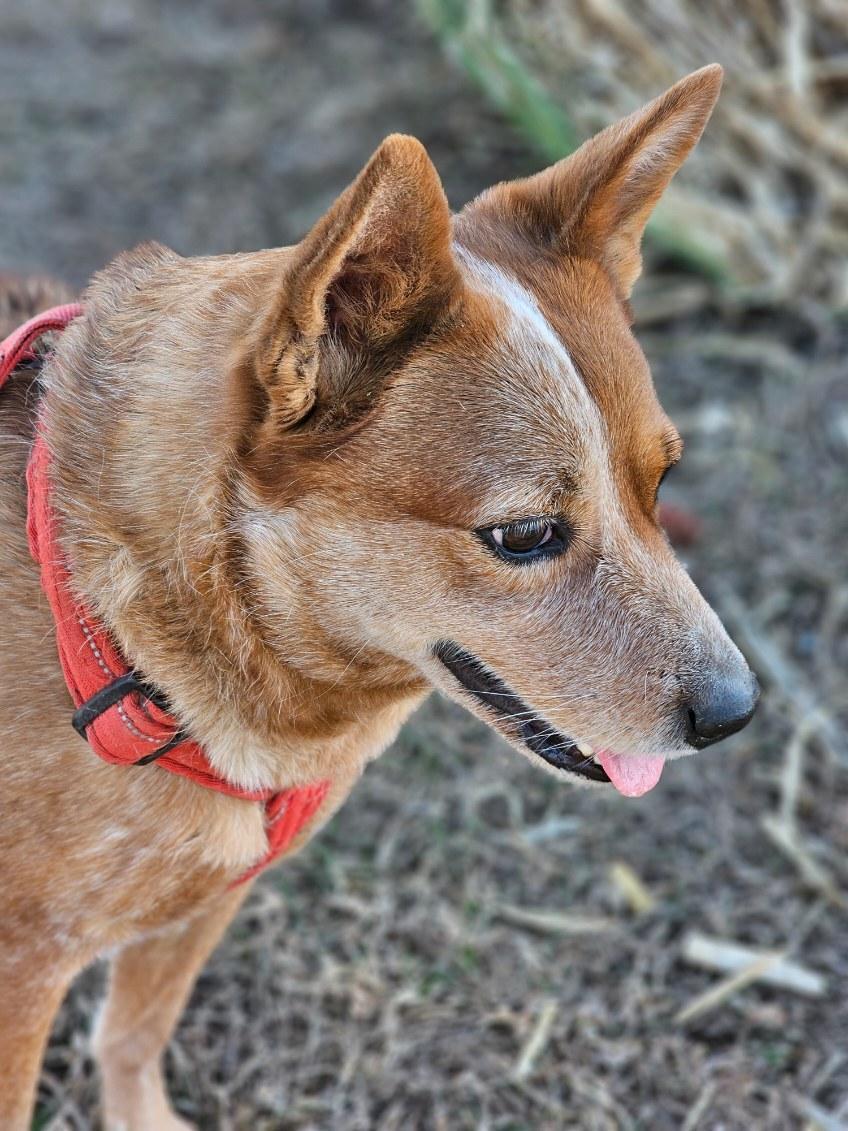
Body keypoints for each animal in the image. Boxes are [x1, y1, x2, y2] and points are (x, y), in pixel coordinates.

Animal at [0, 66, 755, 1126]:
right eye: (525, 534)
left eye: (663, 484)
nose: (737, 711)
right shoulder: (24, 965)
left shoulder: (208, 893)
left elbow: (134, 1036)